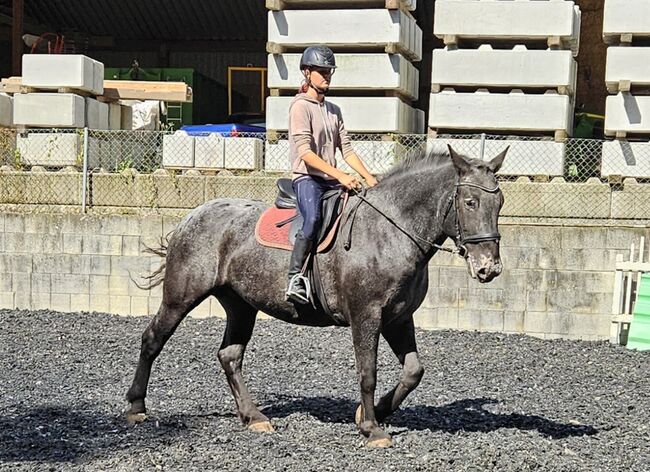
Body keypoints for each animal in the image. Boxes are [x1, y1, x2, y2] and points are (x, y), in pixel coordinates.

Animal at [123, 146, 506, 448]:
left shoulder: (398, 318)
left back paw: (254, 416)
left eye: (499, 202)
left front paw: (370, 414)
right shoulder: (366, 316)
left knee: (229, 356)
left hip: (240, 304)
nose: (489, 268)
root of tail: (191, 216)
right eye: (470, 202)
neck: (390, 231)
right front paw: (372, 429)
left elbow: (414, 371)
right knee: (153, 339)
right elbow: (368, 372)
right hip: (181, 296)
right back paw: (136, 408)